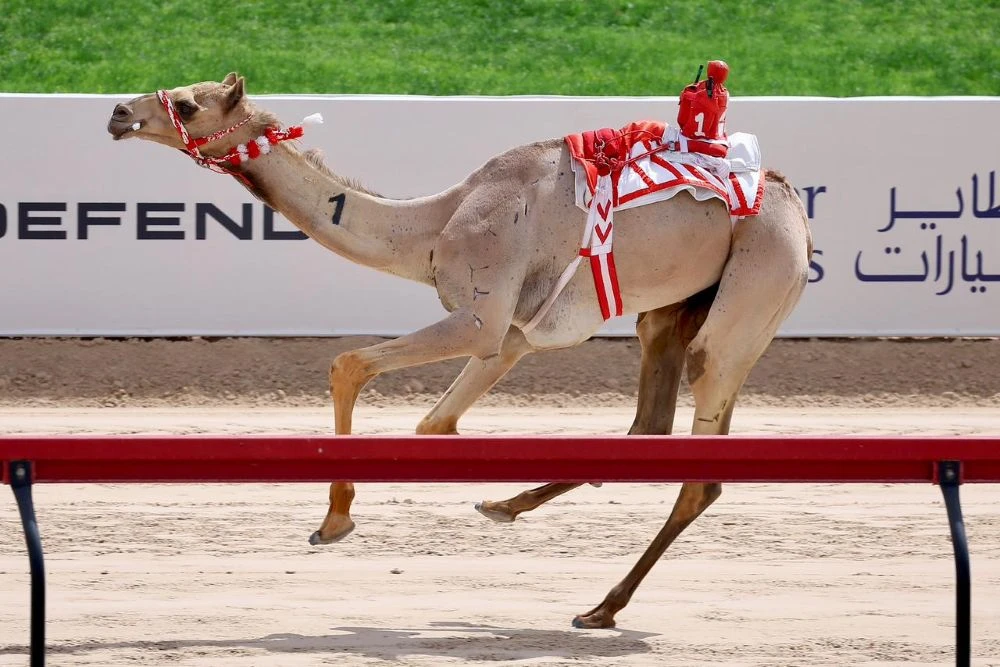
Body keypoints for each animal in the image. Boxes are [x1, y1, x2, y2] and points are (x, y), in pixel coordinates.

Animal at [107, 74, 812, 629]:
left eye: (190, 103)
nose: (118, 112)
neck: (432, 226)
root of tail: (797, 213)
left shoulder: (479, 316)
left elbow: (349, 364)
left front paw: (335, 521)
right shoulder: (510, 333)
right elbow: (434, 423)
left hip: (754, 285)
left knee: (702, 458)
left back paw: (599, 604)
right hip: (675, 308)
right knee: (651, 420)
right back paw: (515, 517)